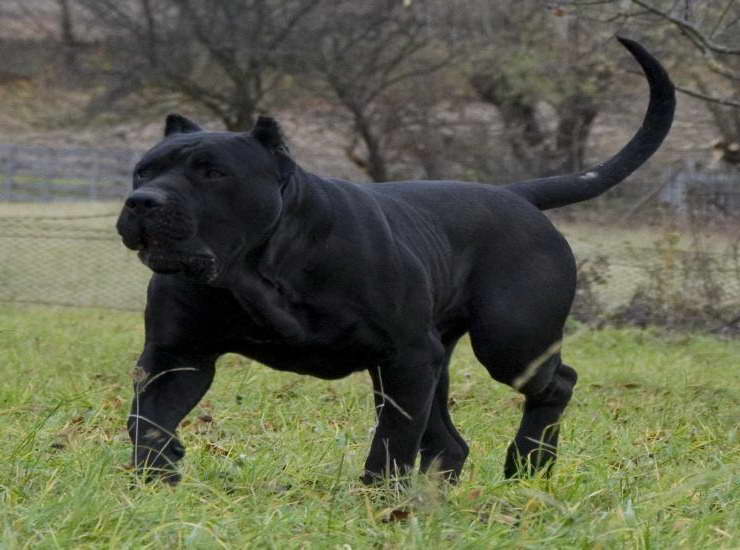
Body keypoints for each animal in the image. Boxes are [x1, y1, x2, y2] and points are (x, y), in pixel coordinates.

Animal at [117, 40, 676, 488]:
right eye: (143, 170)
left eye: (212, 173)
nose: (143, 201)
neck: (256, 270)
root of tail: (516, 195)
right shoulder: (176, 356)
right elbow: (147, 419)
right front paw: (157, 476)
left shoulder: (405, 356)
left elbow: (393, 437)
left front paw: (378, 496)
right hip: (440, 358)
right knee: (449, 440)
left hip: (510, 342)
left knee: (559, 382)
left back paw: (527, 465)